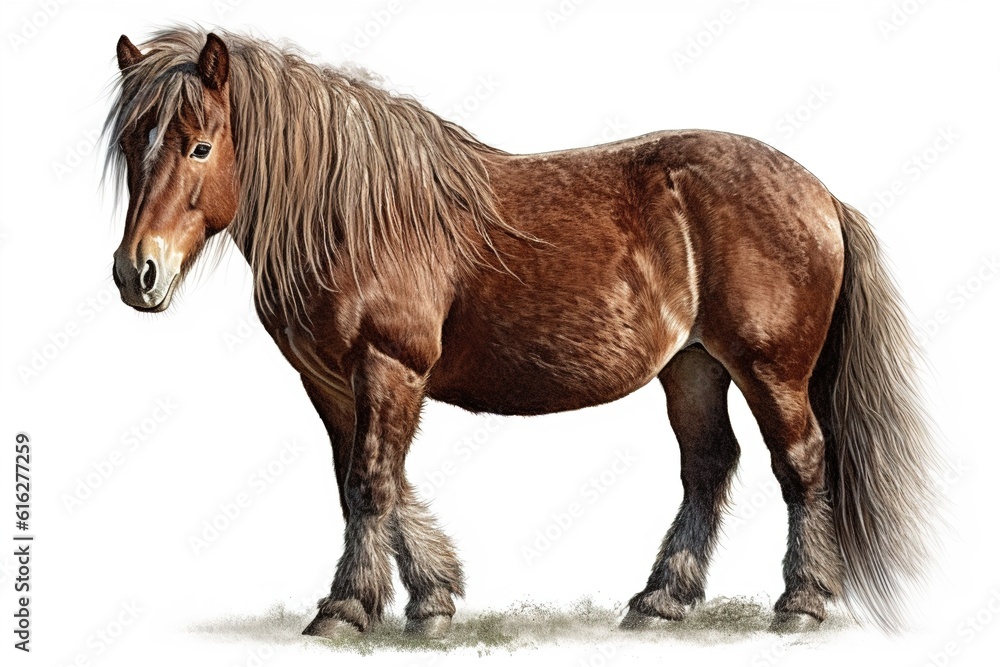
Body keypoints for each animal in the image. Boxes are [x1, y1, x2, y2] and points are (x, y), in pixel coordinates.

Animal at [104, 28, 939, 639]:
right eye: (131, 147)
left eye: (200, 145)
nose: (136, 273)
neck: (356, 218)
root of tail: (821, 194)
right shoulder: (331, 379)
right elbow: (366, 482)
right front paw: (432, 597)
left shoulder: (389, 366)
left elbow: (373, 482)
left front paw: (347, 609)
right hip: (694, 365)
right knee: (709, 464)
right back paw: (661, 599)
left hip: (769, 368)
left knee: (800, 462)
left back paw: (800, 602)